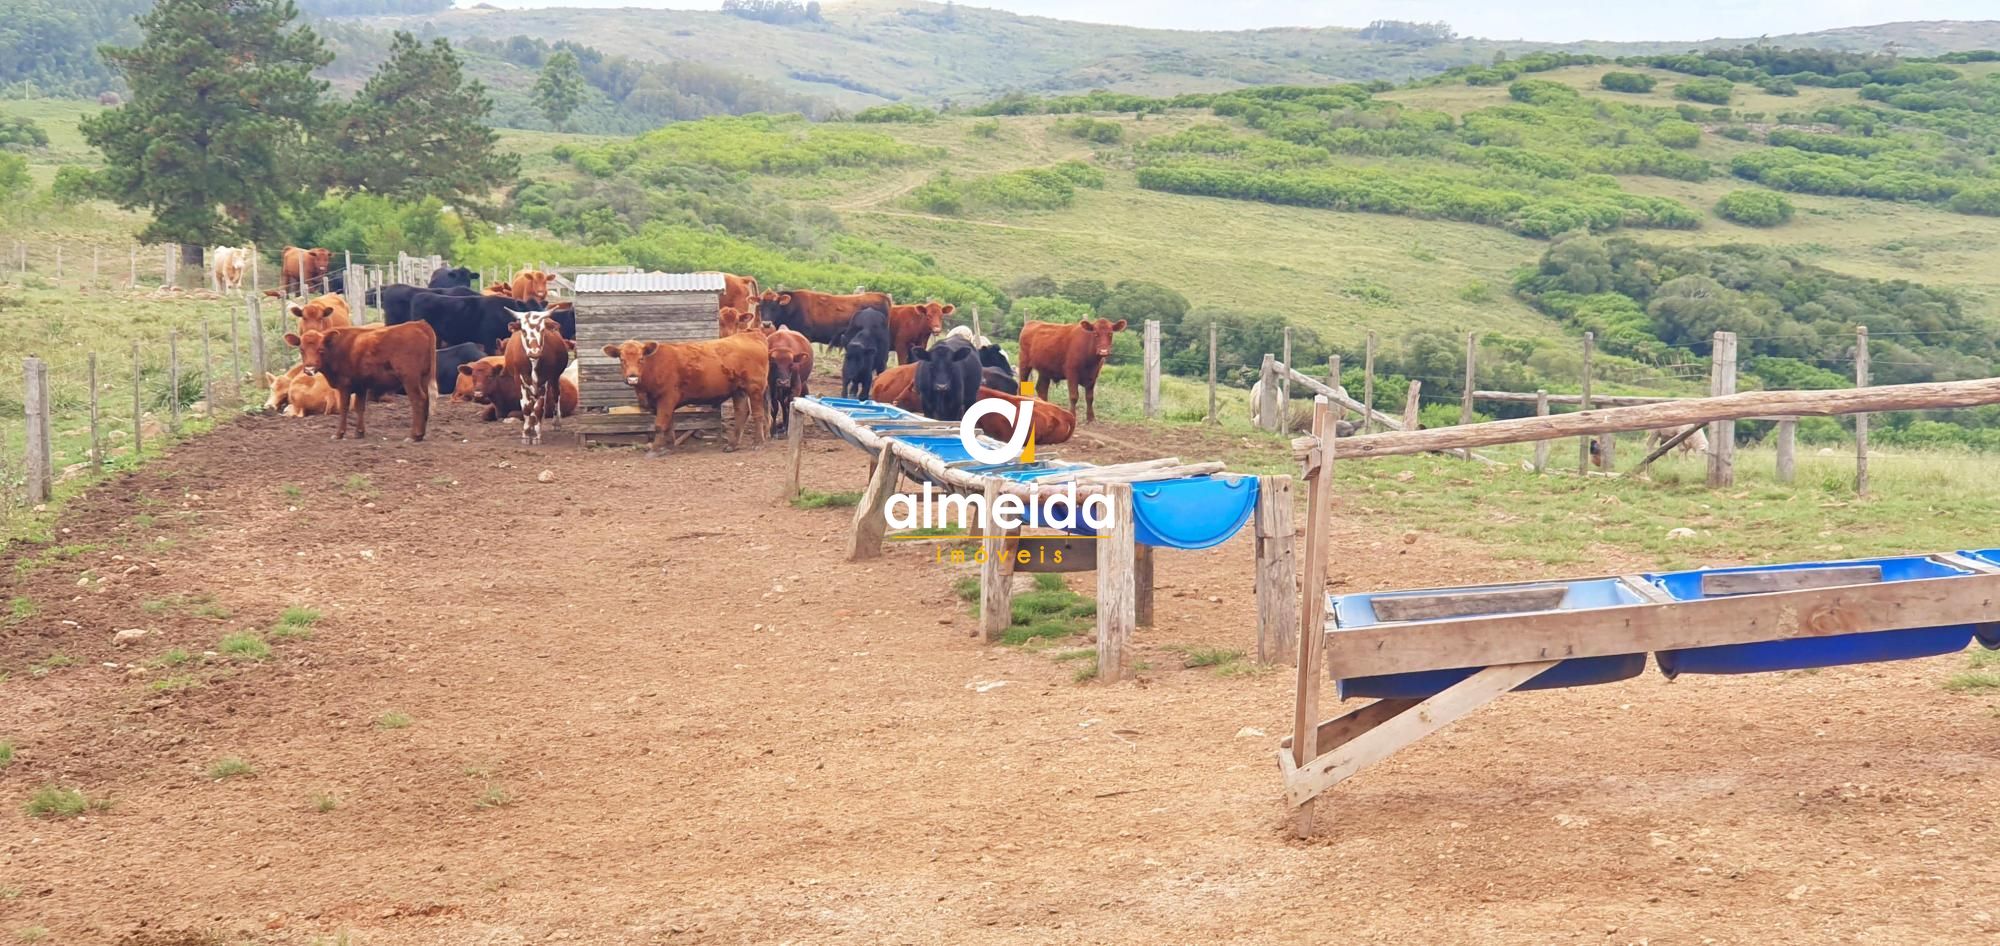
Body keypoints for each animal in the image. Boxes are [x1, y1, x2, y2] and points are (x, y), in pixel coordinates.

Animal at [280, 322, 436, 440]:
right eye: (301, 349)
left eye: (321, 349)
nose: (309, 369)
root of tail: (418, 324)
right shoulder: (361, 386)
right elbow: (359, 407)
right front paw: (359, 433)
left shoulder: (344, 385)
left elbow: (344, 408)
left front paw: (339, 434)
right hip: (423, 377)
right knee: (426, 399)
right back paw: (421, 434)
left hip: (410, 378)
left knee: (418, 400)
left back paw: (414, 435)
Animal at [500, 308, 572, 444]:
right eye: (523, 330)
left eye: (542, 330)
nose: (534, 352)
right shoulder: (520, 379)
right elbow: (526, 407)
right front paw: (527, 433)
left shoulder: (544, 379)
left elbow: (539, 407)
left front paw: (537, 435)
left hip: (554, 378)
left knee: (555, 395)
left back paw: (554, 423)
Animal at [596, 332, 768, 458]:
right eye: (621, 359)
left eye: (641, 358)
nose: (632, 377)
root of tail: (749, 334)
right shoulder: (661, 403)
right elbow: (669, 425)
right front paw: (669, 447)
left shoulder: (666, 398)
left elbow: (660, 425)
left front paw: (654, 450)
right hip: (738, 390)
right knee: (741, 413)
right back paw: (732, 445)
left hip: (755, 388)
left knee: (758, 414)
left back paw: (758, 443)